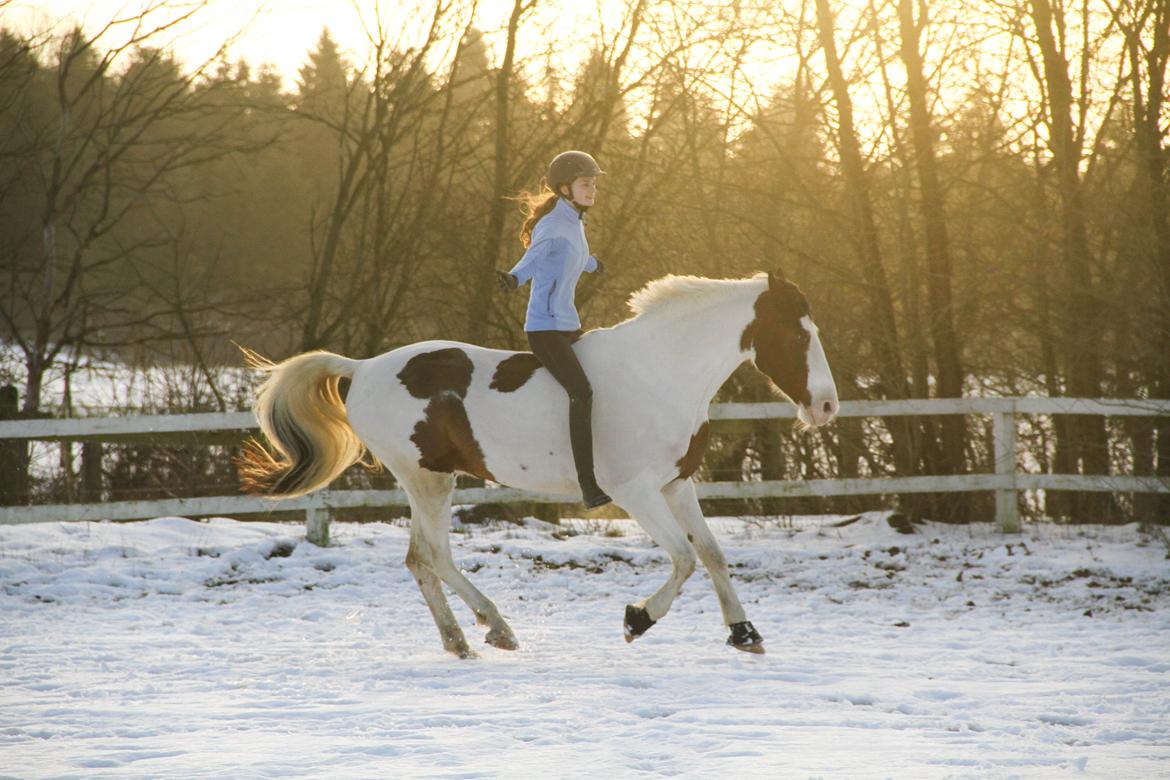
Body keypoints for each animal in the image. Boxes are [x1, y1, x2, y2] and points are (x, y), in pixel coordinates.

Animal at [242, 270, 837, 659]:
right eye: (797, 332)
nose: (828, 407)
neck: (660, 371)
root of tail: (362, 368)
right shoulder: (635, 491)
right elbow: (684, 560)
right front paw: (636, 620)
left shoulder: (676, 485)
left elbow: (711, 555)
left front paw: (745, 634)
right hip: (427, 479)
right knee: (433, 555)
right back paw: (492, 629)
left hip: (430, 481)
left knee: (420, 560)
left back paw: (464, 639)